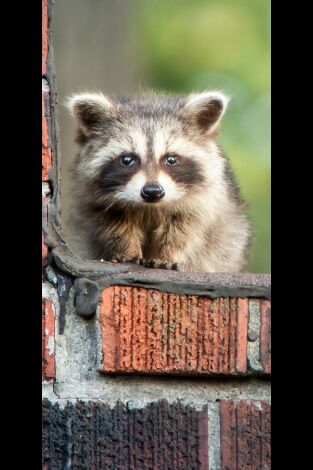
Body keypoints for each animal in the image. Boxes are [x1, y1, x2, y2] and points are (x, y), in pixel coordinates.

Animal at [66, 90, 251, 272]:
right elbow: (115, 226)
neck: (150, 207)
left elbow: (185, 230)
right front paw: (128, 250)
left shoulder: (203, 201)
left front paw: (168, 254)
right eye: (127, 160)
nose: (152, 191)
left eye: (171, 159)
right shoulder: (97, 203)